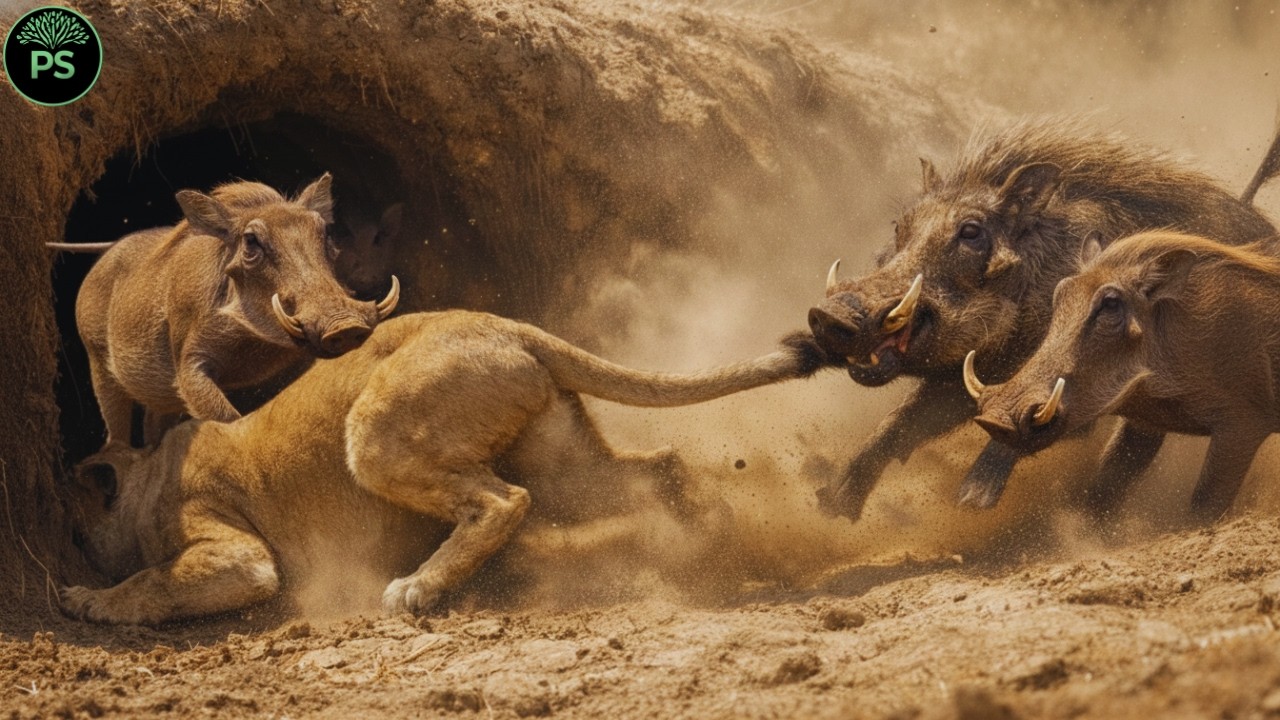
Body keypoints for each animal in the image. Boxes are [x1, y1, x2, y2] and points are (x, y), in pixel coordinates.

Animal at [60, 311, 824, 625]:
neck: (148, 474)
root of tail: (508, 325)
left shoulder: (231, 547)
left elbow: (157, 579)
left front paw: (88, 600)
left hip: (374, 435)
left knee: (501, 501)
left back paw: (416, 590)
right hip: (565, 467)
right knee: (657, 465)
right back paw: (711, 537)